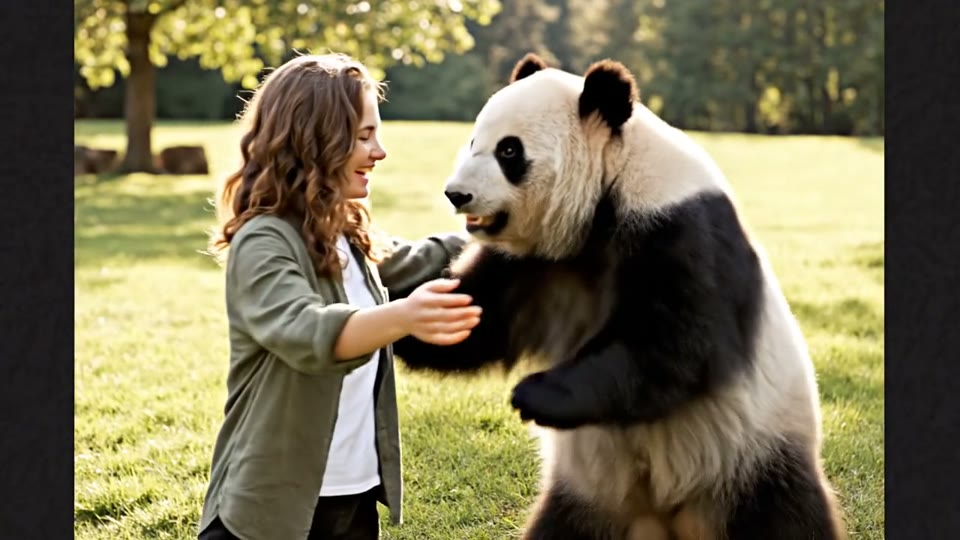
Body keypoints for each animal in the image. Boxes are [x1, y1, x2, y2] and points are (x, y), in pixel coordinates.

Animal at [387, 53, 846, 540]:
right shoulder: (535, 262)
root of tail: (668, 521)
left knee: (782, 518)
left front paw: (534, 394)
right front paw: (408, 319)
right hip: (589, 498)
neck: (610, 184)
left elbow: (677, 347)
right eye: (475, 140)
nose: (457, 194)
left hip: (752, 460)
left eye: (509, 151)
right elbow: (481, 320)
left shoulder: (679, 227)